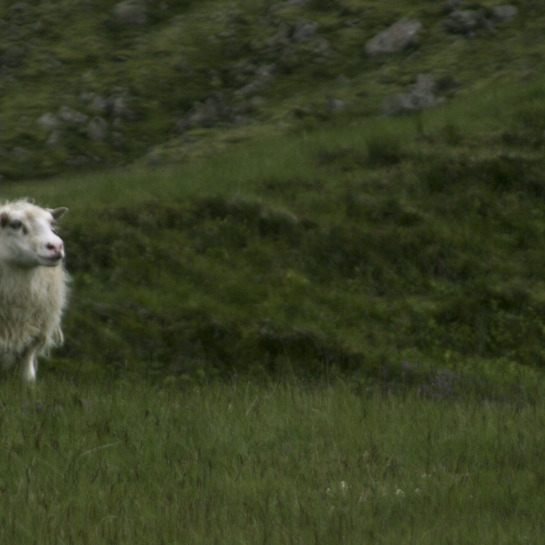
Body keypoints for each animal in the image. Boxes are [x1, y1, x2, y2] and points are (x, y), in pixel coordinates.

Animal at [0, 200, 69, 382]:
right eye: (15, 224)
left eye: (51, 224)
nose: (56, 246)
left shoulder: (38, 329)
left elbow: (28, 362)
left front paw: (29, 383)